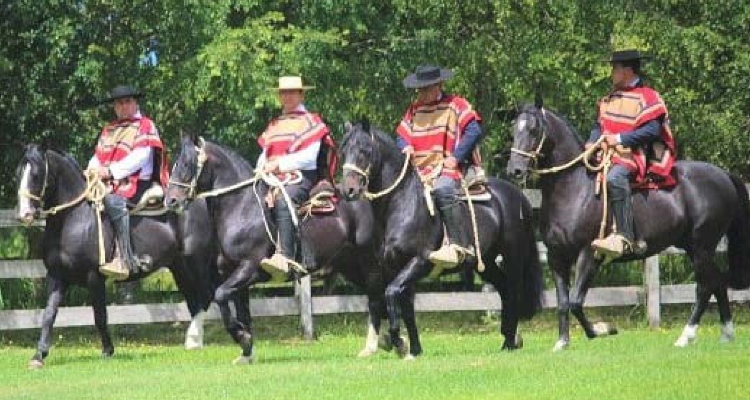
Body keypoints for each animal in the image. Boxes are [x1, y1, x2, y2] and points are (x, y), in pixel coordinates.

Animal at [14, 145, 217, 368]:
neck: (74, 218)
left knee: (206, 296)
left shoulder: (94, 277)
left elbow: (100, 315)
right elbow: (49, 314)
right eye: (18, 174)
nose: (24, 215)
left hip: (196, 263)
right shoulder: (57, 276)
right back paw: (193, 341)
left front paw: (107, 350)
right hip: (179, 267)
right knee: (194, 301)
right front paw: (38, 356)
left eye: (36, 175)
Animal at [164, 134, 382, 362]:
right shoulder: (235, 275)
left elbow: (220, 295)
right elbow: (242, 312)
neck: (242, 207)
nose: (171, 200)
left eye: (187, 164)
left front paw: (240, 337)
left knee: (378, 296)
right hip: (350, 265)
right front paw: (246, 351)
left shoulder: (248, 269)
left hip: (369, 261)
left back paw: (375, 346)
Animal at [342, 121, 548, 356]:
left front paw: (397, 339)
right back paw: (507, 339)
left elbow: (391, 292)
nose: (349, 189)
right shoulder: (395, 267)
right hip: (486, 263)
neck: (402, 204)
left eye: (365, 151)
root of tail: (520, 197)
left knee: (513, 292)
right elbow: (406, 306)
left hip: (513, 257)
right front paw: (413, 349)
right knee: (504, 289)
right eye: (344, 151)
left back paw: (511, 341)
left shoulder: (419, 261)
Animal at [506, 103, 750, 350]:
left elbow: (575, 301)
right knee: (718, 283)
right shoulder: (557, 257)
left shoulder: (589, 254)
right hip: (694, 247)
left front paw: (601, 330)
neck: (574, 188)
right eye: (514, 130)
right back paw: (726, 334)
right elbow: (563, 302)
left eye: (534, 130)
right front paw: (562, 342)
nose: (515, 170)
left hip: (702, 247)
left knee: (705, 287)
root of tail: (723, 175)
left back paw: (685, 337)